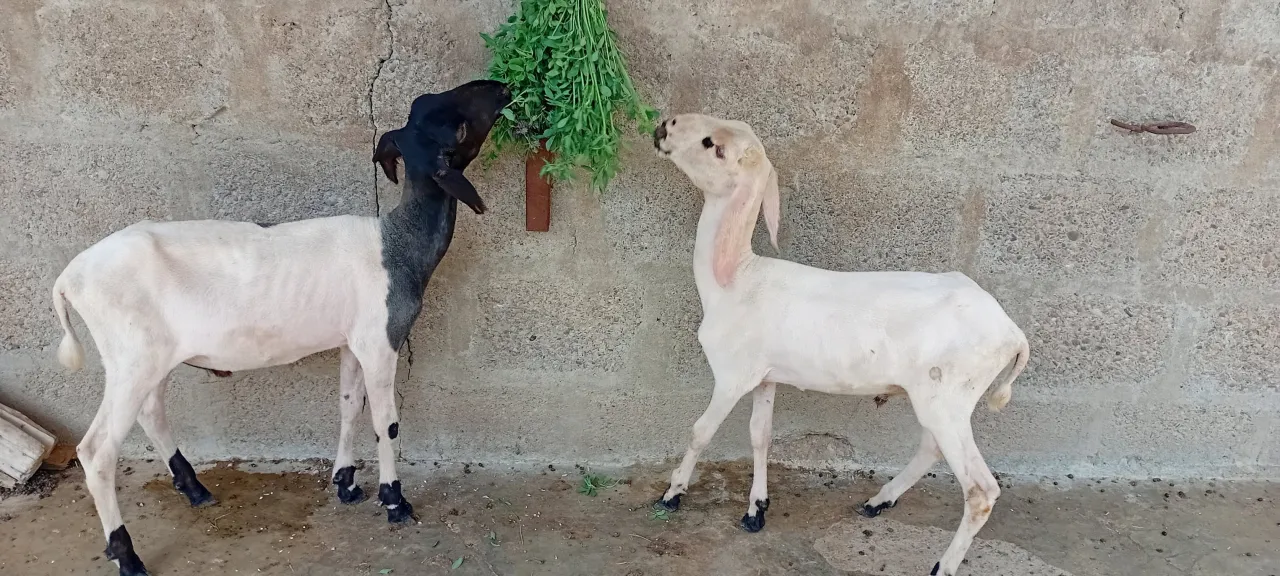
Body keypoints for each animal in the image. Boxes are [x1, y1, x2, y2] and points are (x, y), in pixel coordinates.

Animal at [49, 79, 510, 576]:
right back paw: (127, 554)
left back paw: (194, 490)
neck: (396, 244)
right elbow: (386, 423)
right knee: (97, 451)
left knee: (151, 413)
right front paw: (394, 501)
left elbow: (349, 407)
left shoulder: (351, 341)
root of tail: (69, 277)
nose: (501, 88)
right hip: (131, 356)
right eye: (457, 127)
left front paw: (346, 484)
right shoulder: (380, 339)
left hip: (150, 358)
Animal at [650, 113, 1029, 576]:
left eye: (712, 145)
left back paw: (942, 565)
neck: (736, 277)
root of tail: (1012, 332)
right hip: (941, 398)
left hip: (950, 395)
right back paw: (878, 501)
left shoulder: (731, 375)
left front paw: (673, 494)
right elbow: (761, 435)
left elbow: (701, 432)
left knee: (979, 489)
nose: (664, 125)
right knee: (931, 447)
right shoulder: (765, 375)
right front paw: (756, 509)